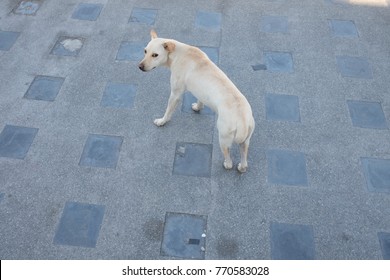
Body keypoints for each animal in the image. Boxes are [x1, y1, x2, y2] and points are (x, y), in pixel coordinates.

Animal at [139, 29, 254, 172]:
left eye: (155, 55)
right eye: (145, 51)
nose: (140, 66)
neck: (177, 53)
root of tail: (242, 119)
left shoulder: (175, 94)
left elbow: (168, 111)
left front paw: (162, 121)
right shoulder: (201, 91)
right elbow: (200, 100)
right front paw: (198, 108)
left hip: (223, 138)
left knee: (228, 159)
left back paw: (227, 164)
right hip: (246, 140)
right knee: (244, 157)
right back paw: (242, 167)